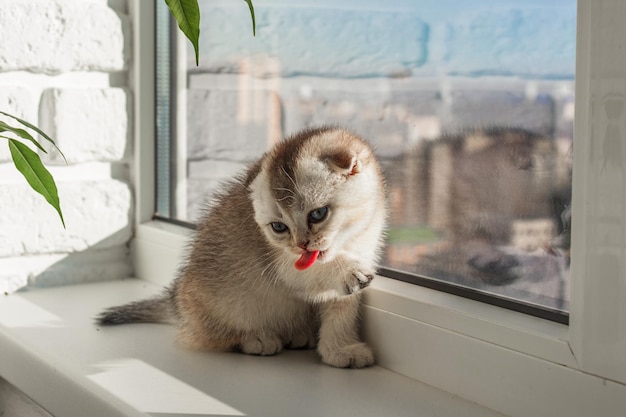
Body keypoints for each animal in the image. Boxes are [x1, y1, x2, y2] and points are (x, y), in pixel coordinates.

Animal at [97, 127, 386, 368]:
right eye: (278, 227)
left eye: (318, 214)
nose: (300, 245)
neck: (351, 240)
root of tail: (176, 304)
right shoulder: (281, 264)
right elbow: (309, 273)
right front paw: (345, 271)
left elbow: (341, 312)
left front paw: (341, 350)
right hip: (216, 304)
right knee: (211, 335)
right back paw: (256, 338)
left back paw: (297, 334)